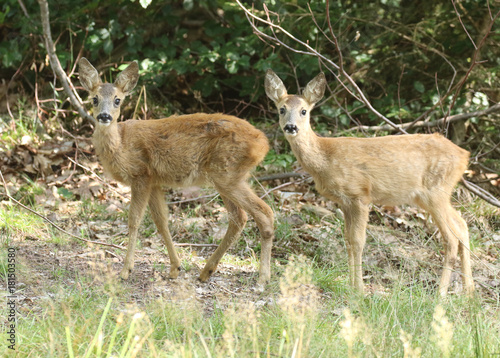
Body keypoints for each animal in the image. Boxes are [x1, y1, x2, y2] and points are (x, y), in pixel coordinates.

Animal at [76, 57, 276, 284]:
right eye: (94, 99)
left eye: (117, 100)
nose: (104, 116)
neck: (121, 144)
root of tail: (263, 144)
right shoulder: (154, 181)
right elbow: (162, 222)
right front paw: (175, 268)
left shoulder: (141, 175)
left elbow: (134, 221)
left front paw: (126, 270)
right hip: (229, 177)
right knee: (239, 218)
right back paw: (206, 271)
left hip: (226, 174)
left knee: (264, 213)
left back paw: (263, 277)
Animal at [264, 68, 474, 296]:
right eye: (281, 109)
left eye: (303, 111)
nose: (291, 127)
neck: (325, 159)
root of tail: (464, 155)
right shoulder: (344, 202)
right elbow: (348, 240)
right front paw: (350, 285)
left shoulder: (359, 194)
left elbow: (358, 241)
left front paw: (359, 290)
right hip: (432, 195)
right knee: (462, 225)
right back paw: (469, 292)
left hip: (436, 191)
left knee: (451, 239)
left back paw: (440, 294)